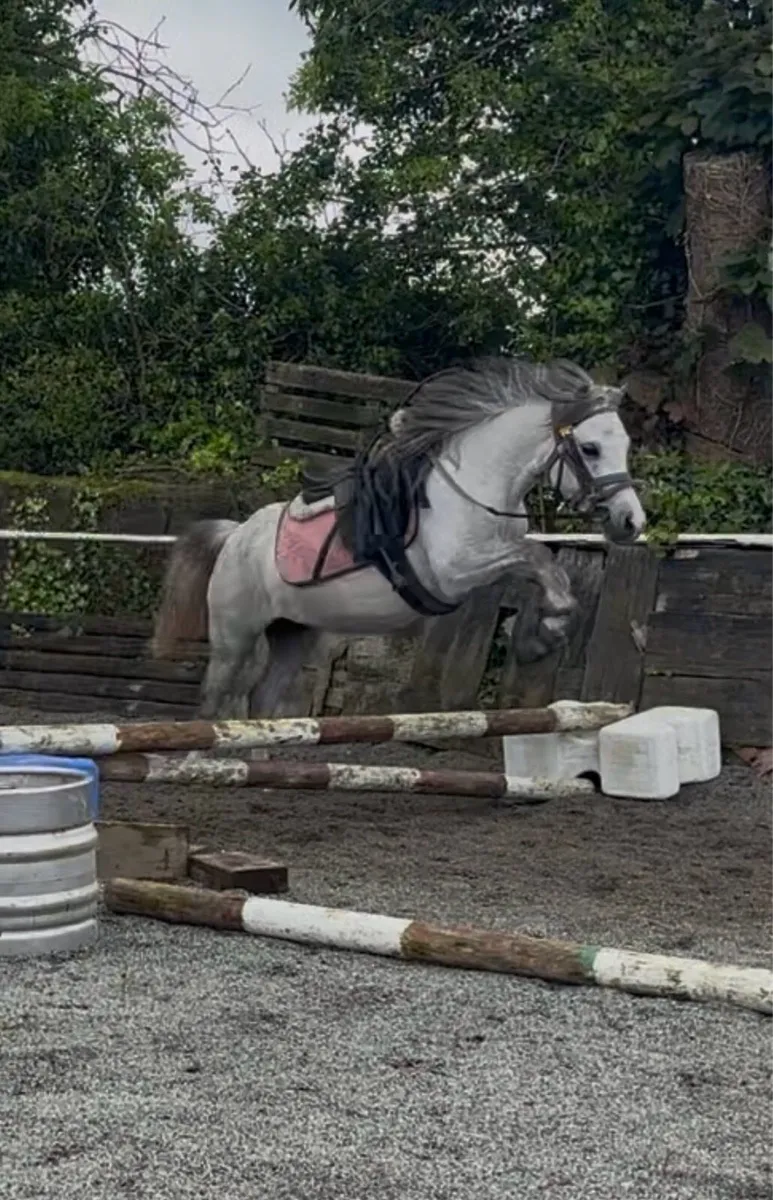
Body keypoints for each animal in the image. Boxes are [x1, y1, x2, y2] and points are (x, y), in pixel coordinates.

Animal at [151, 357, 646, 719]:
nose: (631, 521)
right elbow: (538, 558)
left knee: (264, 698)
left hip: (294, 632)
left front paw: (539, 632)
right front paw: (542, 635)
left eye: (624, 445)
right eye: (590, 449)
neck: (481, 484)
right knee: (217, 697)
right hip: (236, 634)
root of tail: (236, 536)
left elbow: (540, 571)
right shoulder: (458, 571)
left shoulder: (490, 564)